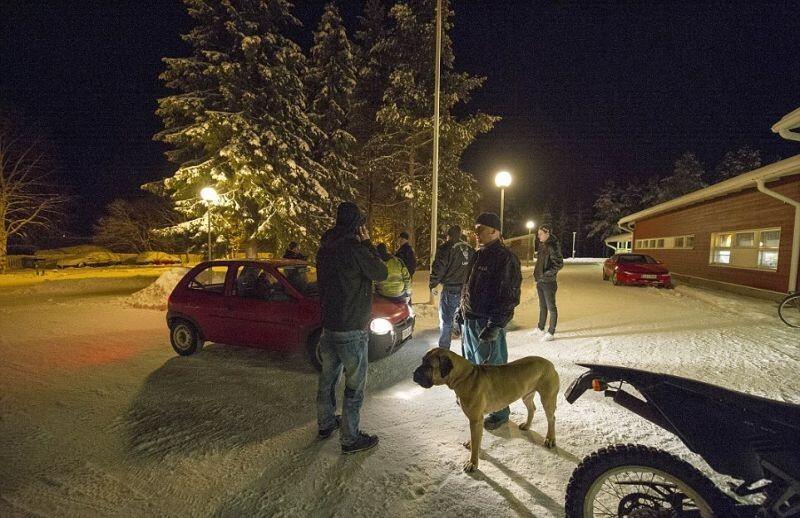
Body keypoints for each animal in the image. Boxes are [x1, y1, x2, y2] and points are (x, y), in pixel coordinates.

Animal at [412, 348, 556, 474]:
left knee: (551, 418)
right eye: (422, 360)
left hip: (548, 398)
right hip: (526, 395)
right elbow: (476, 438)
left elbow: (476, 442)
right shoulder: (477, 420)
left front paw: (472, 463)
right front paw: (472, 445)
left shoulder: (475, 419)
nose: (414, 374)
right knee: (532, 408)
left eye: (429, 366)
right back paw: (527, 425)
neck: (464, 376)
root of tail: (550, 363)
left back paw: (550, 439)